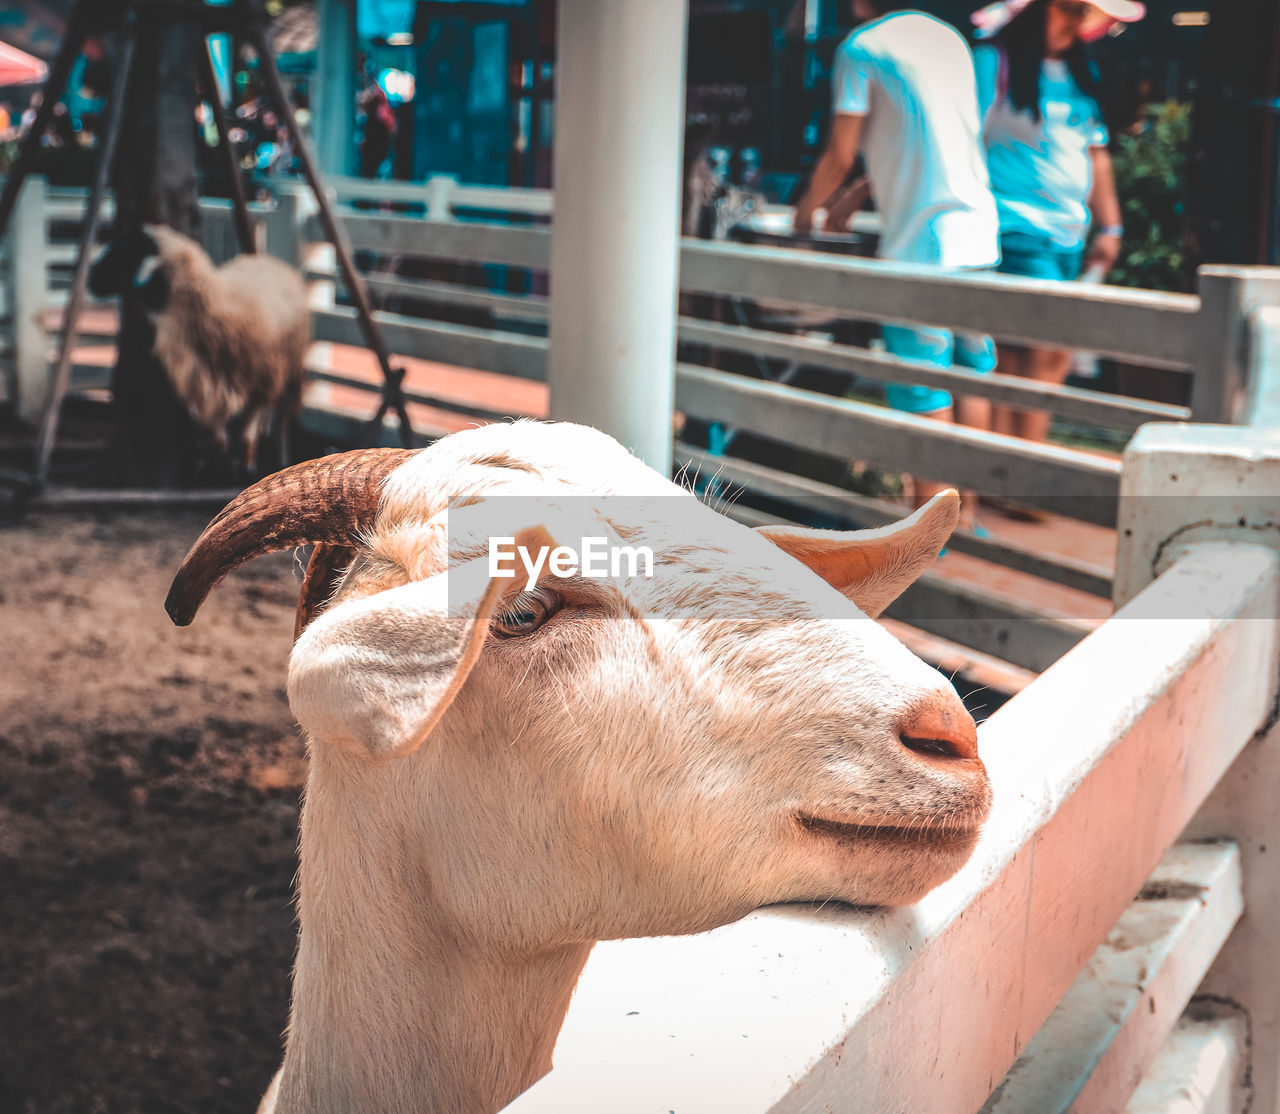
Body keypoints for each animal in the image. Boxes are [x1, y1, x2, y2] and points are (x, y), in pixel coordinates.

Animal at [89, 224, 309, 473]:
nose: (91, 278)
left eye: (127, 251)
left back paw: (282, 455)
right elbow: (220, 437)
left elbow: (246, 435)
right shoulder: (204, 381)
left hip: (291, 365)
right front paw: (221, 461)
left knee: (282, 416)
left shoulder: (263, 379)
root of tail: (265, 259)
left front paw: (247, 466)